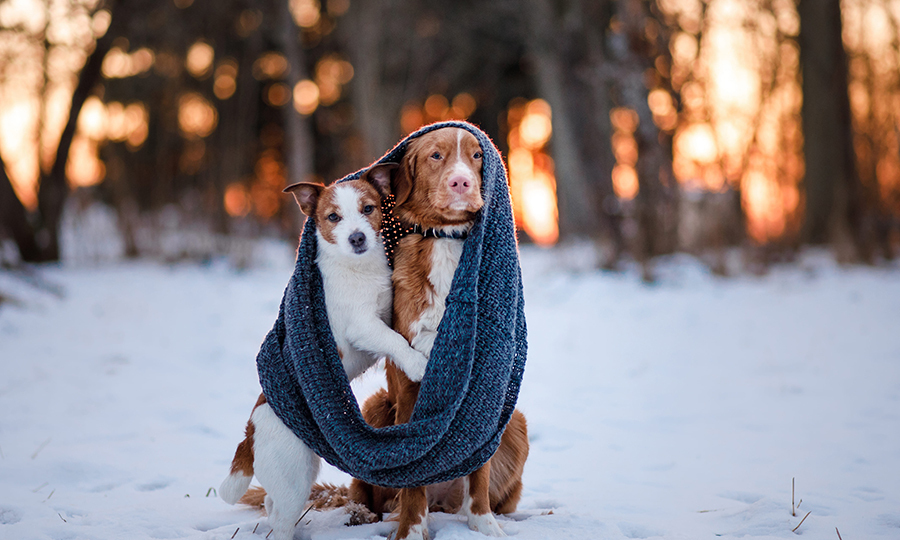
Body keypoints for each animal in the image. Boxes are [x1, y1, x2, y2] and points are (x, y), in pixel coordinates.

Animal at [218, 173, 428, 540]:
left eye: (368, 209)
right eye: (333, 217)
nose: (357, 238)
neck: (357, 269)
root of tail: (251, 432)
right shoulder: (363, 326)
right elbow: (394, 340)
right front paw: (416, 363)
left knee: (271, 506)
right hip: (294, 476)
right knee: (280, 521)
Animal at [350, 127, 532, 540]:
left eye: (478, 155)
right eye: (436, 155)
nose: (461, 182)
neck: (446, 238)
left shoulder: (482, 390)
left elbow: (478, 467)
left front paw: (483, 524)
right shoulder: (408, 383)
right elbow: (412, 468)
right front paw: (412, 529)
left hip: (515, 421)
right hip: (376, 406)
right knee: (374, 494)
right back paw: (371, 515)